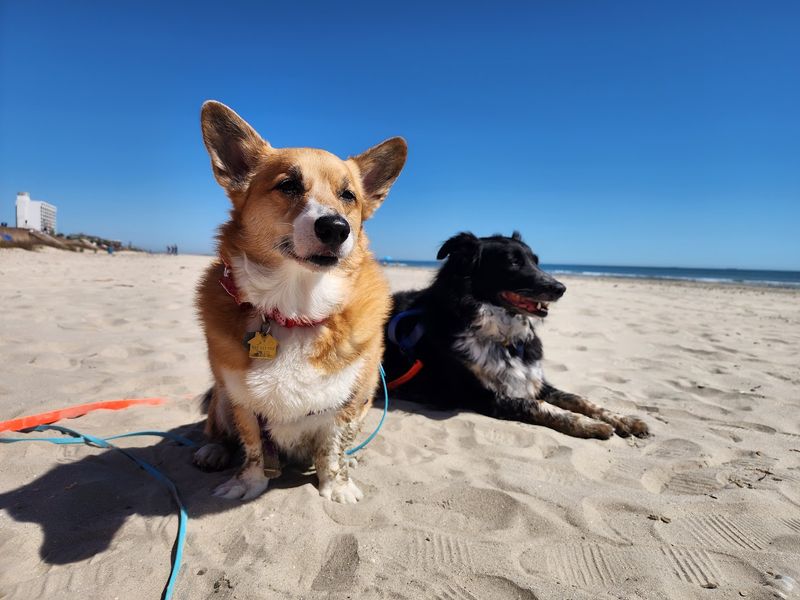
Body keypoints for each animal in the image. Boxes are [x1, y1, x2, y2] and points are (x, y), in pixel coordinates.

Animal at [194, 102, 406, 502]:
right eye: (288, 185)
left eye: (348, 195)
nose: (336, 228)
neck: (295, 308)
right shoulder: (241, 400)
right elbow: (253, 448)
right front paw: (249, 484)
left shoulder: (352, 401)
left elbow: (334, 449)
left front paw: (337, 487)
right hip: (221, 399)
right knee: (216, 428)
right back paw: (212, 451)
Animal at [382, 232, 648, 438]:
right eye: (513, 263)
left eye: (536, 261)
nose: (561, 288)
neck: (504, 339)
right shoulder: (483, 397)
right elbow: (538, 405)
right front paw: (590, 425)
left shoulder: (535, 381)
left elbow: (579, 399)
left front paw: (623, 419)